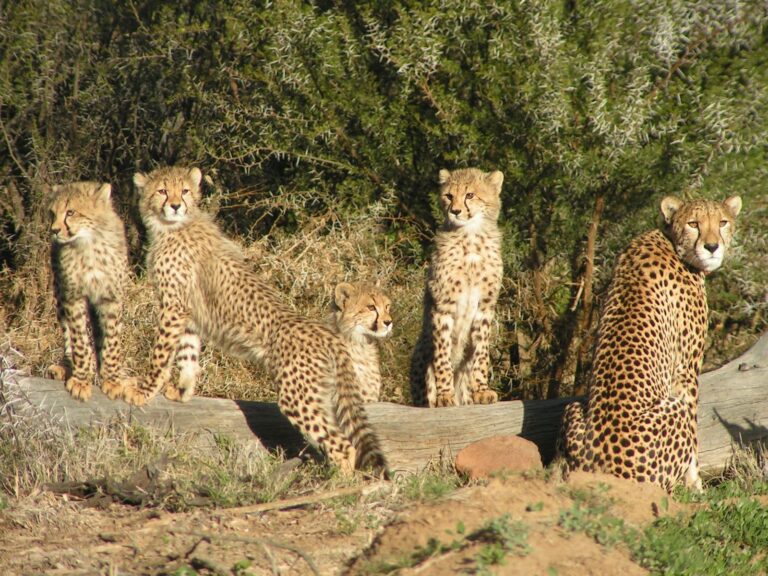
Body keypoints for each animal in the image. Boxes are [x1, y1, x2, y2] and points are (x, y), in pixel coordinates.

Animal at [46, 181, 133, 401]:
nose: (54, 230)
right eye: (52, 213)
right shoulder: (73, 298)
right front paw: (80, 380)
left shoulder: (110, 298)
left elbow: (111, 341)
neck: (89, 244)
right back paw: (65, 367)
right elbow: (80, 342)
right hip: (60, 295)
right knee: (68, 335)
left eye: (70, 212)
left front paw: (112, 380)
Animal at [123, 165, 385, 474]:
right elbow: (188, 353)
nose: (175, 205)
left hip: (297, 395)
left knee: (342, 444)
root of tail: (328, 334)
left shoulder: (173, 307)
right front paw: (183, 391)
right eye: (162, 190)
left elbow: (160, 354)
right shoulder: (187, 311)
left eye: (184, 191)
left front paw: (142, 391)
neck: (172, 227)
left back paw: (337, 481)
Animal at [410, 168, 504, 408]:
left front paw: (482, 390)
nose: (455, 211)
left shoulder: (485, 306)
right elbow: (443, 357)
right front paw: (445, 395)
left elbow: (481, 353)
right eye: (449, 196)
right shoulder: (442, 307)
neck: (470, 238)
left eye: (470, 195)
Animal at [560, 195, 743, 492]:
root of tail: (602, 470)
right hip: (673, 410)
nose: (712, 246)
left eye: (723, 222)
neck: (670, 240)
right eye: (694, 223)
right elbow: (694, 432)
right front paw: (696, 485)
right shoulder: (686, 370)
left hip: (573, 409)